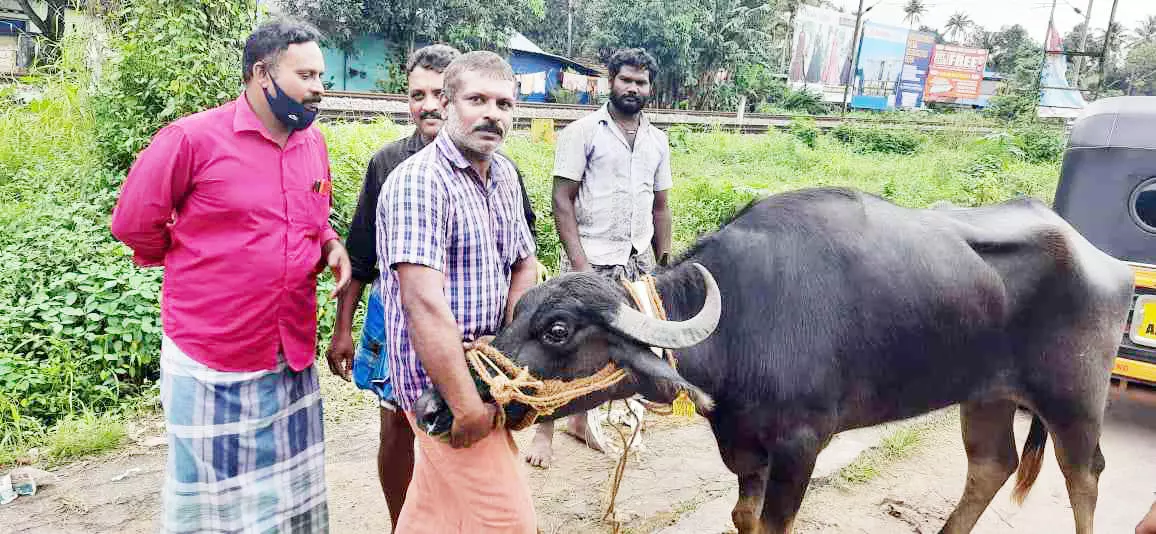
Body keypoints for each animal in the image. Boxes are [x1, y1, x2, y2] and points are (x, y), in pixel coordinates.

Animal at [492, 187, 1132, 534]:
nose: (472, 389)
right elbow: (743, 517)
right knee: (992, 465)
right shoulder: (745, 444)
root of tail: (1104, 259)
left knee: (1085, 475)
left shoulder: (801, 447)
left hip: (1074, 399)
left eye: (557, 330)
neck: (743, 316)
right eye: (517, 309)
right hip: (988, 395)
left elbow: (775, 523)